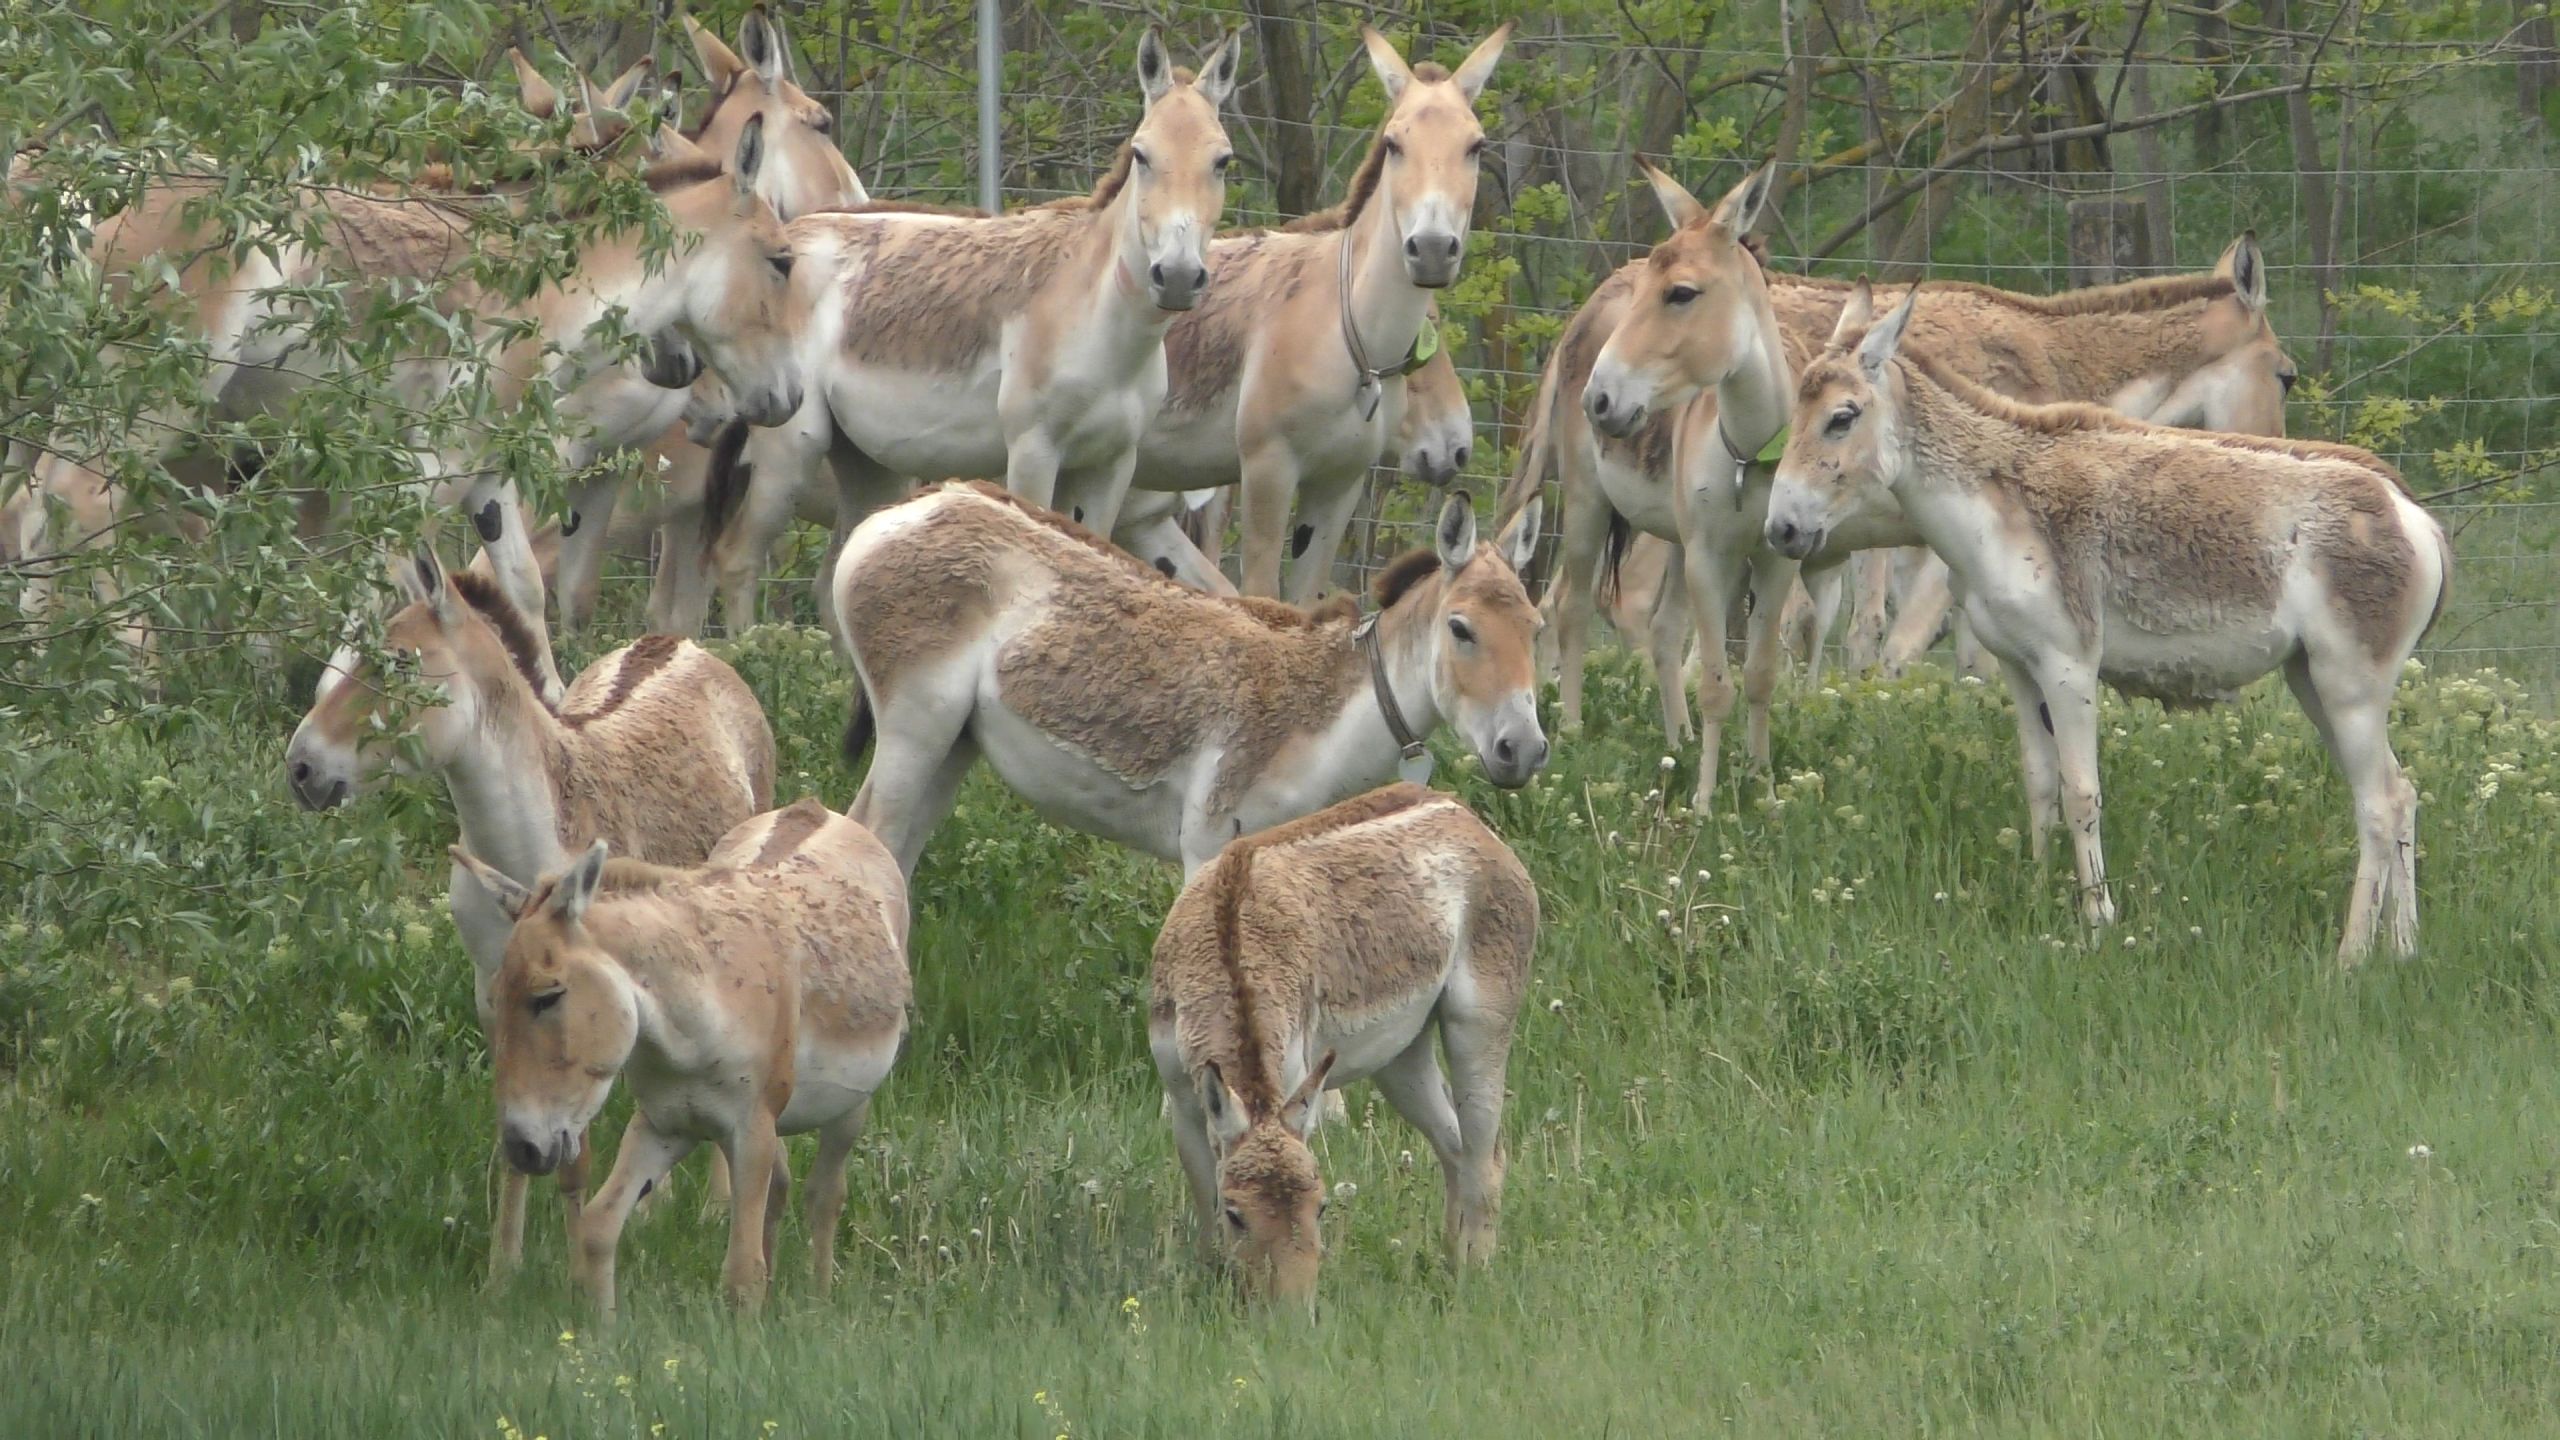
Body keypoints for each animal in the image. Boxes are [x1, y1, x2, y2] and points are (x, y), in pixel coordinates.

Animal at [453, 794, 911, 1311]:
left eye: (547, 996)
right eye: (494, 999)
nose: (521, 1149)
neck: (690, 1026)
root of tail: (815, 810)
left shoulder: (750, 1130)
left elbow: (741, 1275)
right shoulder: (666, 1124)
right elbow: (598, 1227)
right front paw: (600, 1329)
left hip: (849, 1107)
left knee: (825, 1195)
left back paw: (819, 1301)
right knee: (781, 1190)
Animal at [1152, 784, 1525, 1311]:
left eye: (1321, 1206)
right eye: (1237, 1214)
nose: (1292, 1315)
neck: (1229, 928)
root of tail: (1460, 811)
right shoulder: (1185, 1103)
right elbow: (1204, 1202)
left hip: (1476, 1030)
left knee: (1484, 1161)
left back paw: (1472, 1280)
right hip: (1401, 1061)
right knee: (1454, 1148)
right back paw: (1449, 1269)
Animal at [1771, 288, 2447, 963]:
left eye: (1841, 417)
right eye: (1797, 409)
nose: (1780, 530)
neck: (1999, 502)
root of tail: (2410, 511)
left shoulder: (2069, 666)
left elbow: (2081, 792)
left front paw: (2098, 920)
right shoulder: (2017, 668)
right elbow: (2039, 784)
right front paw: (2038, 889)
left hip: (2349, 687)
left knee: (2380, 805)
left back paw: (2351, 956)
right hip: (2313, 682)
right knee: (2403, 793)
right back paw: (2404, 946)